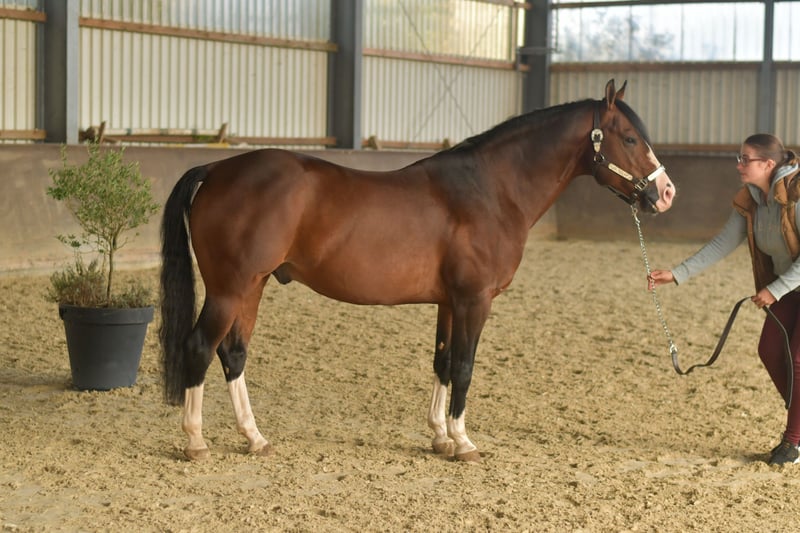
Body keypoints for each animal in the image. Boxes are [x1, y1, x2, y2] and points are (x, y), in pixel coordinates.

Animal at [160, 79, 675, 462]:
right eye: (630, 138)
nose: (666, 193)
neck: (491, 190)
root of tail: (216, 170)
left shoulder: (449, 302)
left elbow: (442, 362)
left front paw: (439, 436)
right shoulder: (474, 300)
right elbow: (464, 366)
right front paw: (463, 442)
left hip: (253, 286)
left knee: (233, 354)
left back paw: (254, 438)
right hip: (230, 289)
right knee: (200, 347)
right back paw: (196, 441)